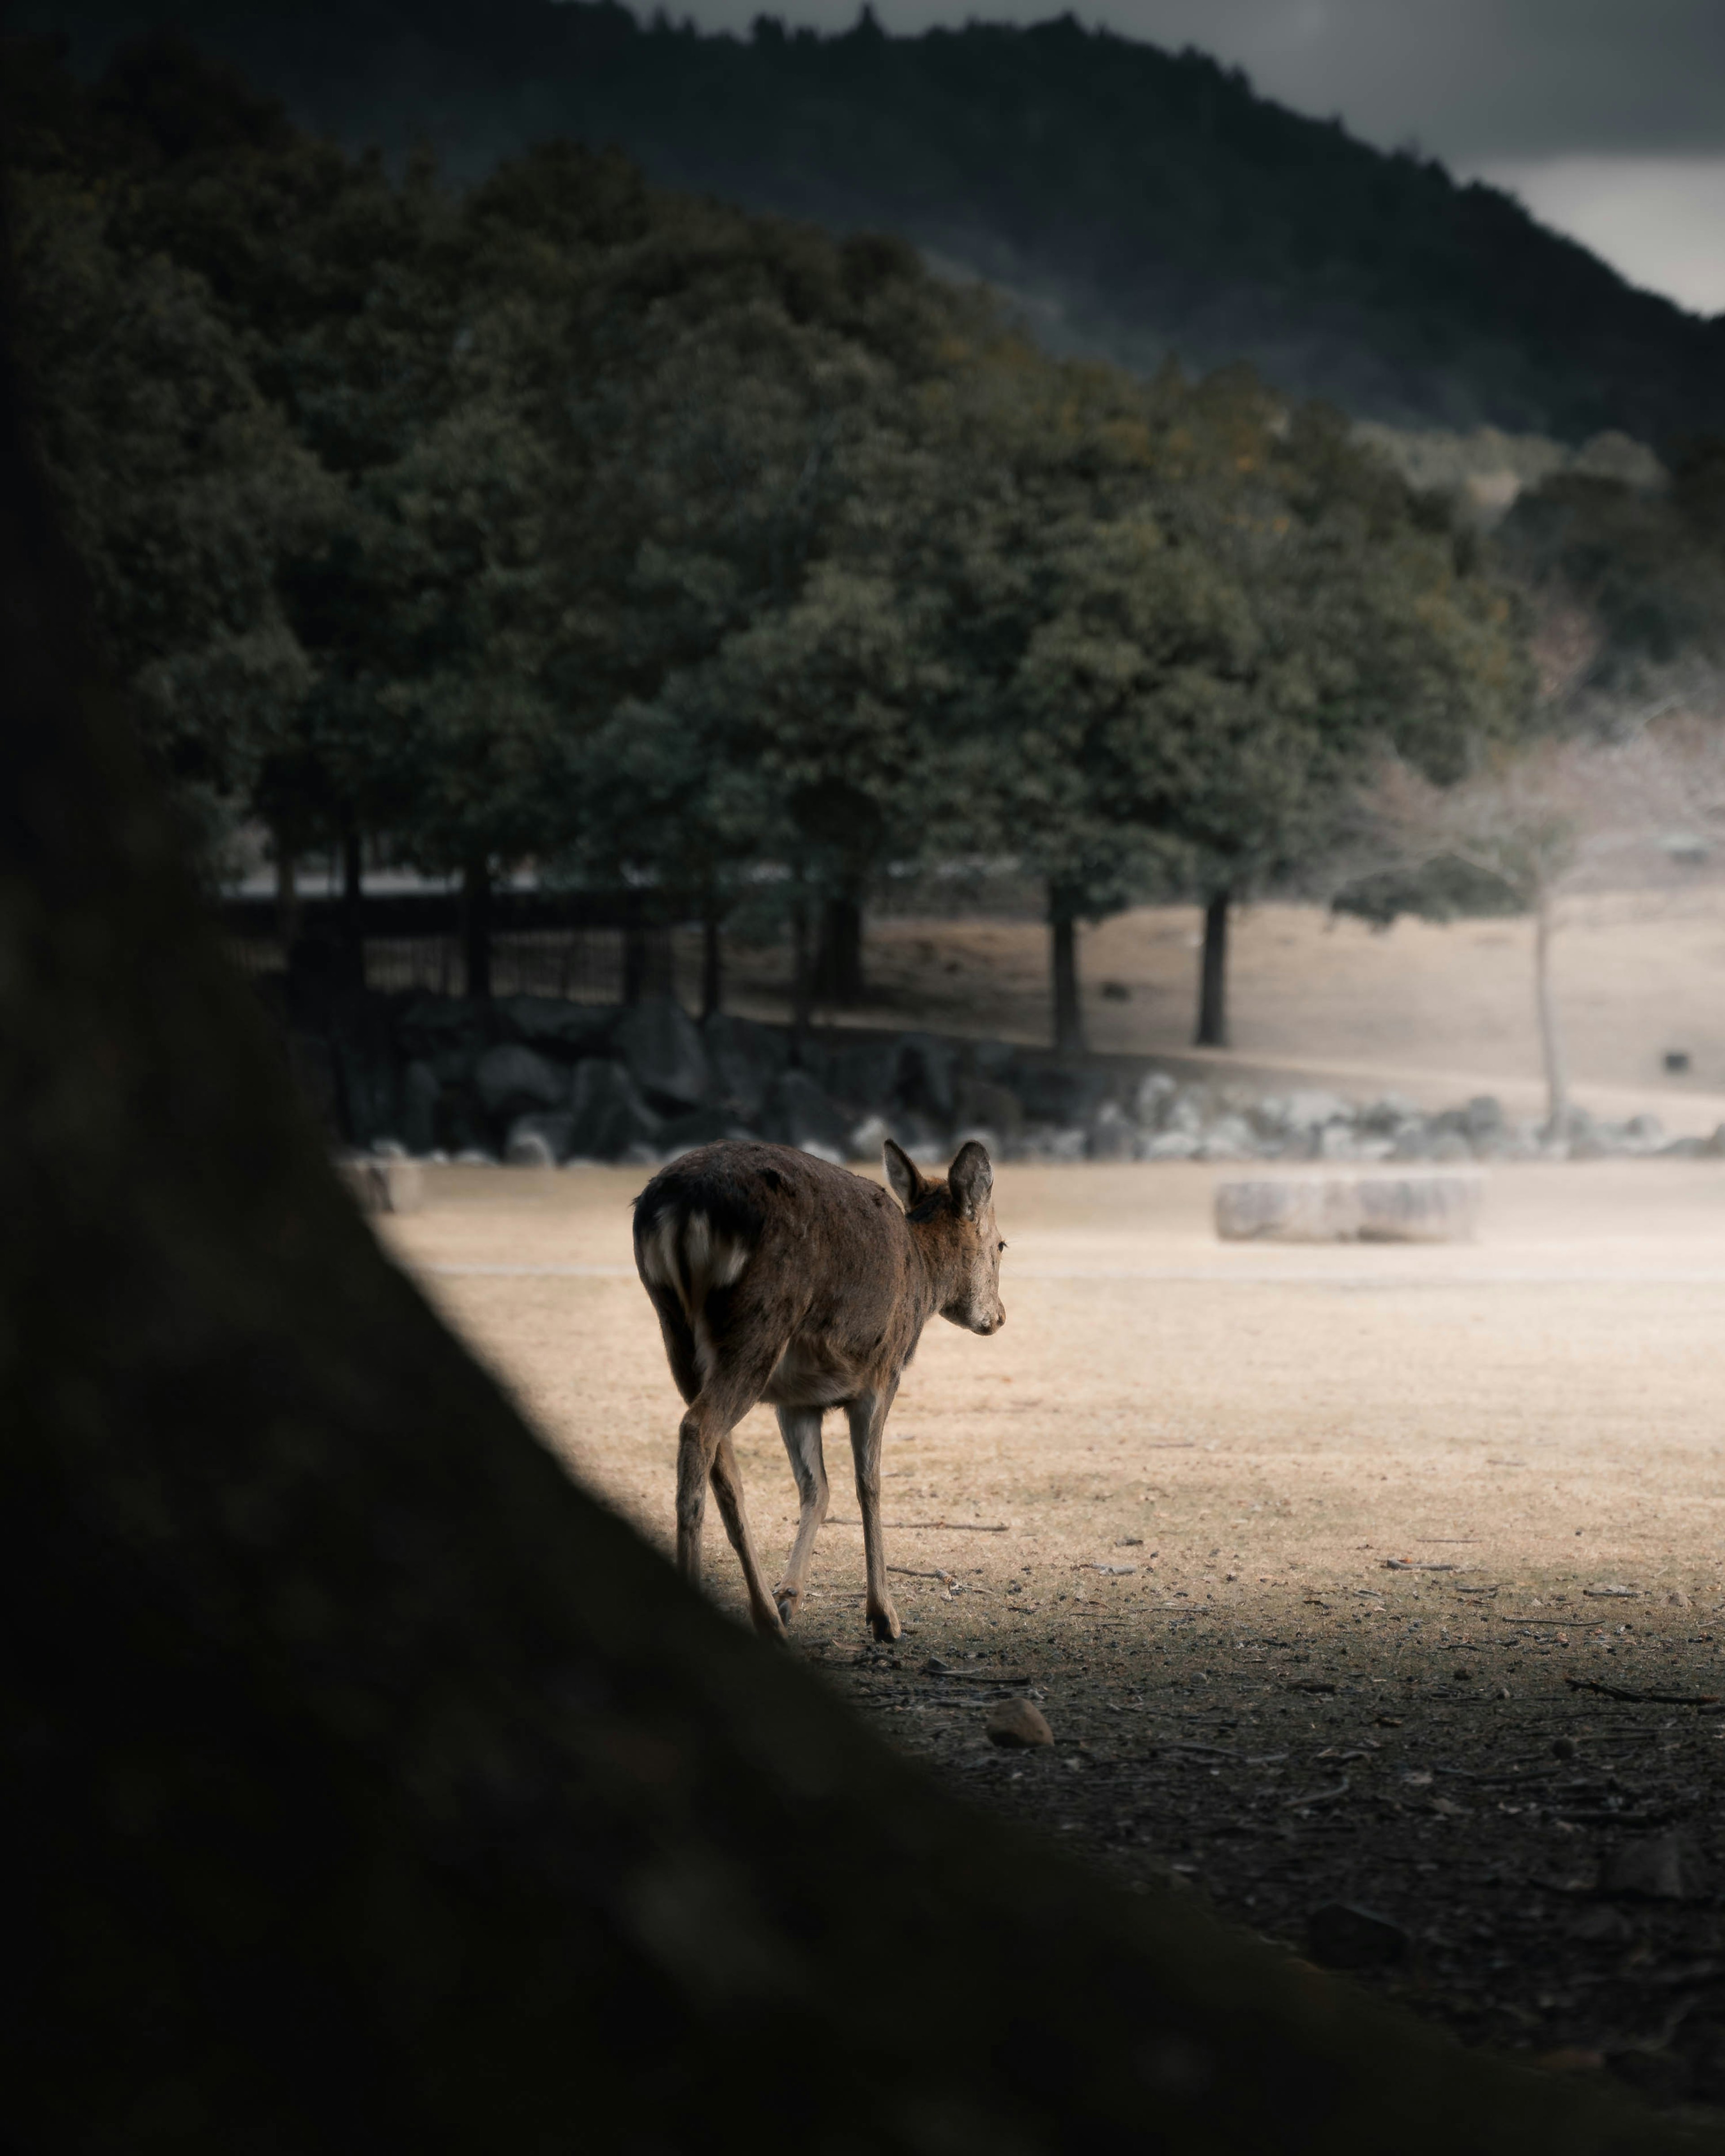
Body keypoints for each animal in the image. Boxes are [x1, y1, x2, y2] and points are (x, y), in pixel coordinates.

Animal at [634, 1138, 1004, 1639]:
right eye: (1002, 1243)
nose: (999, 1317)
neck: (923, 1279)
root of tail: (681, 1208)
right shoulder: (882, 1374)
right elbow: (869, 1482)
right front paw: (884, 1617)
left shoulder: (797, 1402)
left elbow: (817, 1487)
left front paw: (788, 1596)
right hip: (760, 1321)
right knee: (698, 1429)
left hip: (675, 1332)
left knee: (723, 1465)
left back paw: (768, 1618)